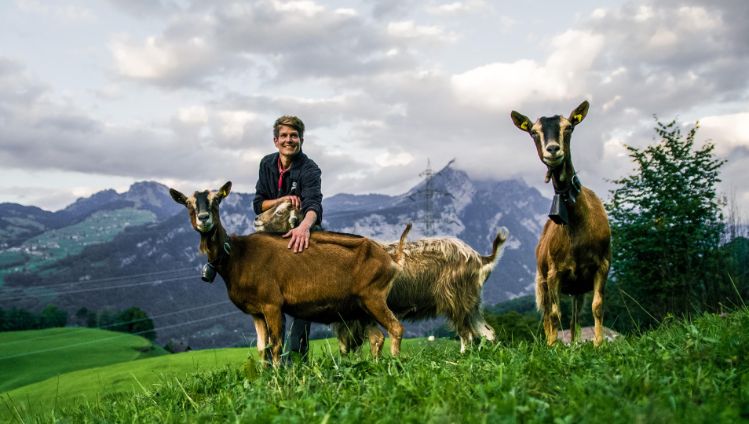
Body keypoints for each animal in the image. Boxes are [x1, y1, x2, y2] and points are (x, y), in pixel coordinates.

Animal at [169, 182, 406, 364]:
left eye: (217, 200)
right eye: (188, 204)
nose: (203, 218)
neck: (237, 255)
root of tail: (390, 258)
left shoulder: (272, 304)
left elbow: (276, 346)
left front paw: (278, 379)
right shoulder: (256, 312)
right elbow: (261, 348)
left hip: (374, 297)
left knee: (396, 328)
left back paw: (396, 363)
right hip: (361, 308)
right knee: (377, 337)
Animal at [512, 101, 612, 346]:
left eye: (569, 127)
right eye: (533, 132)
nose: (553, 150)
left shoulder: (602, 265)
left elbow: (597, 307)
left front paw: (599, 344)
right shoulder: (553, 273)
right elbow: (555, 315)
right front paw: (555, 347)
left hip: (577, 288)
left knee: (575, 318)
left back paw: (575, 343)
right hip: (542, 282)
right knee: (548, 315)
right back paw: (552, 342)